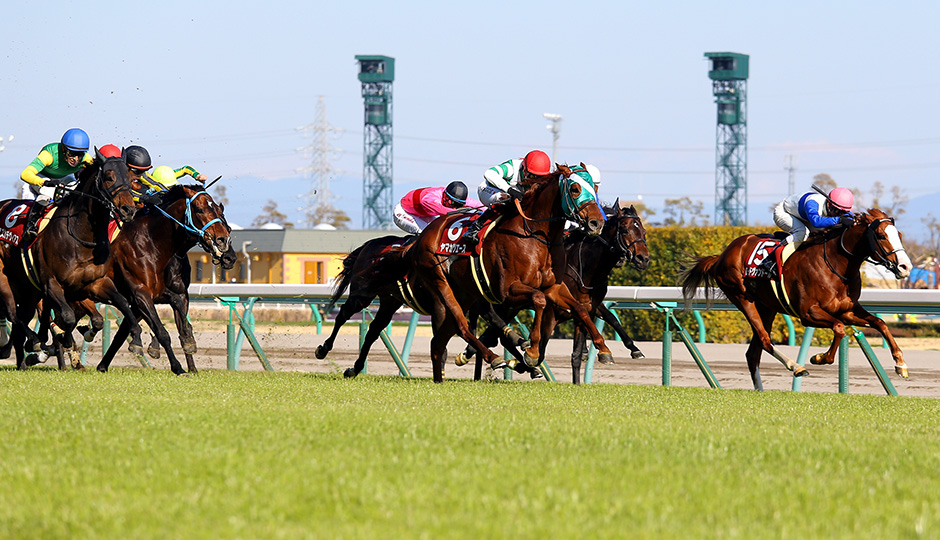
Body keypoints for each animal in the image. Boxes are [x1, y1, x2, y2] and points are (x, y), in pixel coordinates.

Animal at [412, 162, 608, 382]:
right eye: (575, 189)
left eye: (595, 188)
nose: (596, 223)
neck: (535, 235)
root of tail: (424, 235)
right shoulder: (507, 291)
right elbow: (539, 300)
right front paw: (531, 352)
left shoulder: (554, 287)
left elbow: (580, 308)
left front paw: (603, 348)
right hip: (440, 284)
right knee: (461, 325)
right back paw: (494, 357)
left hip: (466, 293)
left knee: (438, 342)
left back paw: (440, 378)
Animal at [680, 209, 916, 390]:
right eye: (882, 236)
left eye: (899, 234)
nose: (906, 267)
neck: (836, 264)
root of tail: (722, 255)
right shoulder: (808, 313)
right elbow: (839, 328)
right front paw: (819, 358)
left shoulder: (847, 310)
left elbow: (880, 323)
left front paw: (901, 364)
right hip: (742, 297)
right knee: (765, 340)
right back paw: (796, 367)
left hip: (767, 307)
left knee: (753, 352)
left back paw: (761, 389)